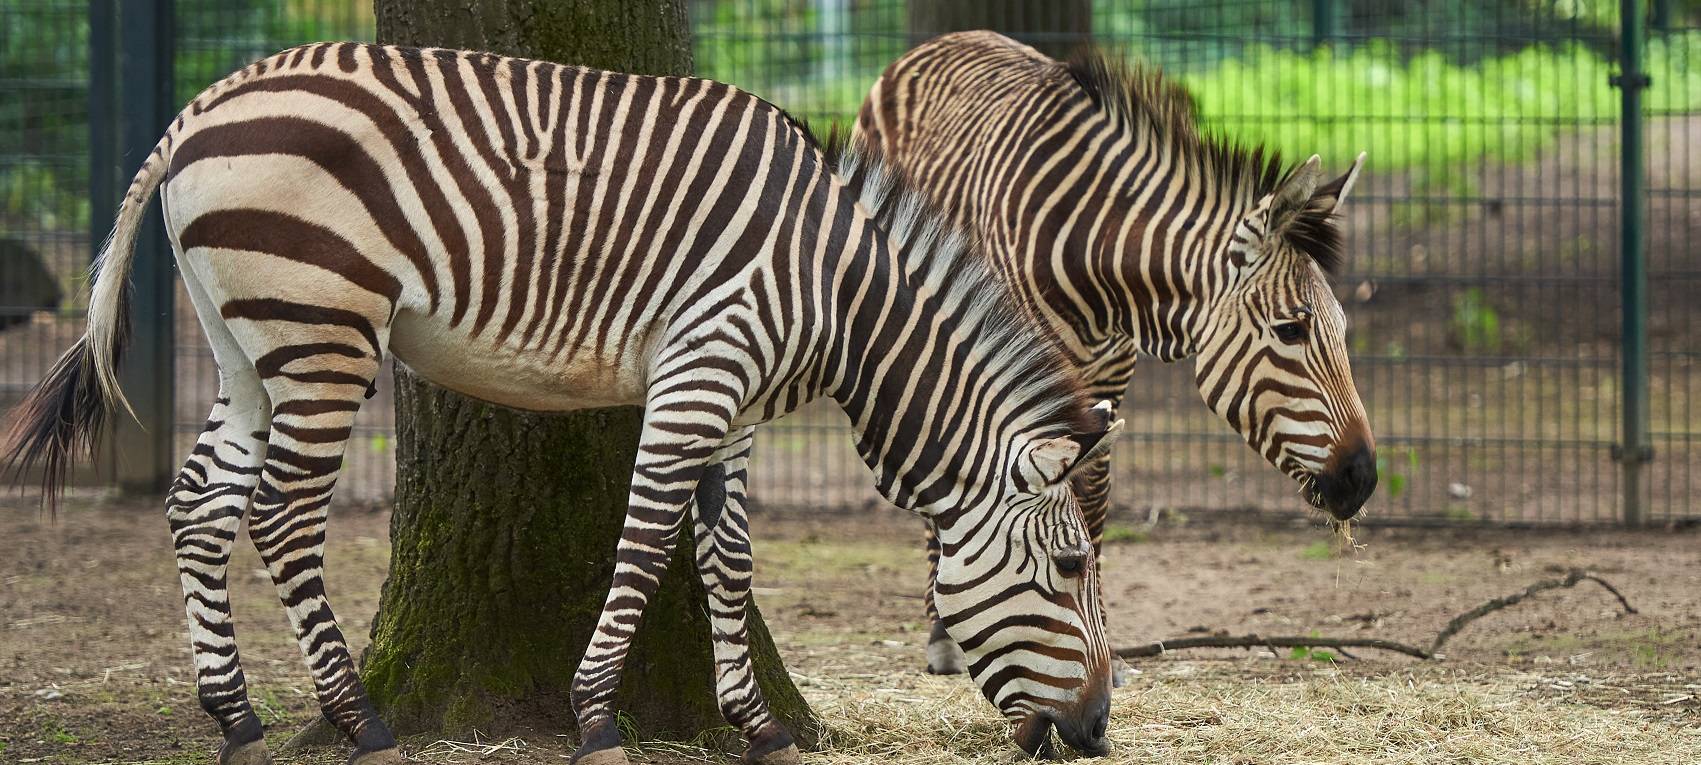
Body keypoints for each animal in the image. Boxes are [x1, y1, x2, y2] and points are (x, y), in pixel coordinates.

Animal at [0, 43, 1123, 764]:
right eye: (1071, 568)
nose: (1101, 730)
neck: (843, 293)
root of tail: (196, 111)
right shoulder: (701, 369)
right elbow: (649, 542)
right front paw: (594, 722)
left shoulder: (740, 405)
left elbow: (727, 558)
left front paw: (757, 728)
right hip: (322, 326)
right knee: (278, 516)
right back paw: (360, 722)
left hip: (245, 343)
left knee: (198, 506)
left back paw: (233, 717)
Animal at [855, 31, 1379, 676]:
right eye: (1290, 331)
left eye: (1342, 328)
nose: (1363, 479)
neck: (1099, 258)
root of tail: (947, 39)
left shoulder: (1111, 375)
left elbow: (1094, 496)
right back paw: (941, 634)